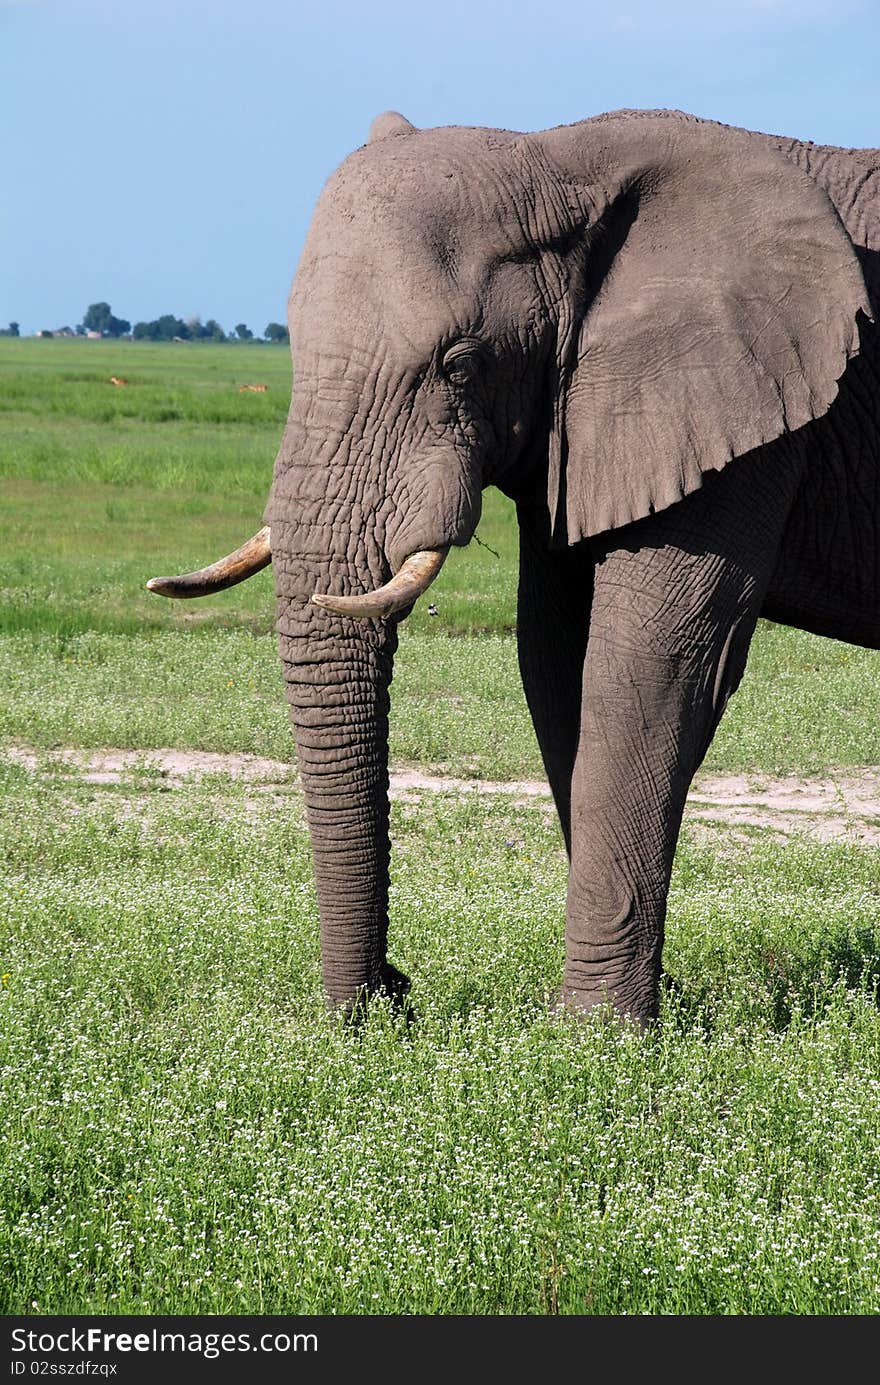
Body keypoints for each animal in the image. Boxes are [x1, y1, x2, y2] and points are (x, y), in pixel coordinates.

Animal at [148, 108, 875, 1030]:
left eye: (461, 364)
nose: (395, 996)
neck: (557, 155)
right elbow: (555, 658)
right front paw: (648, 1007)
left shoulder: (751, 402)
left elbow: (651, 664)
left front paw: (597, 1037)